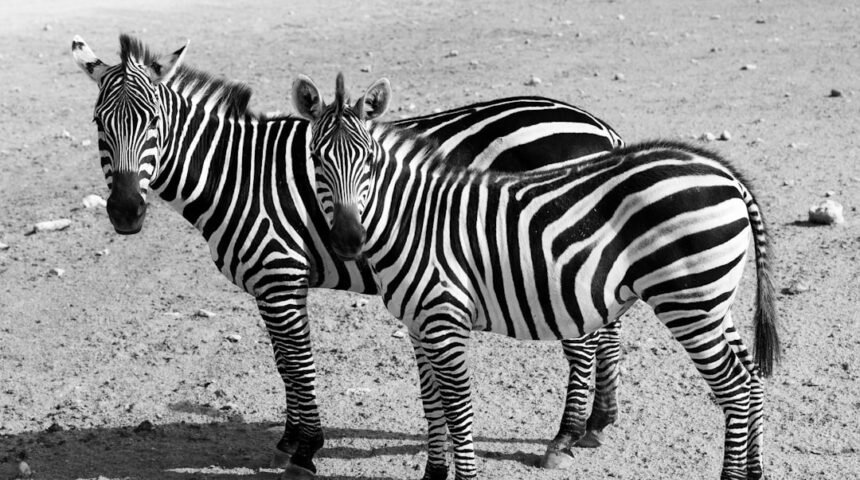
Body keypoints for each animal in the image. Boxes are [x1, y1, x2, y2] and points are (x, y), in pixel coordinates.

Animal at [71, 35, 626, 478]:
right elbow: (282, 363)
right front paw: (289, 439)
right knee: (607, 327)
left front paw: (305, 450)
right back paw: (599, 421)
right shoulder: (271, 283)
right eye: (98, 123)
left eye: (154, 122)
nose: (124, 213)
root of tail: (598, 127)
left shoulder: (280, 274)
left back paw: (564, 436)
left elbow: (297, 364)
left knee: (583, 340)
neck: (239, 174)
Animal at [293, 73, 780, 480]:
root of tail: (728, 175)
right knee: (752, 379)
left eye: (370, 162)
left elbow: (458, 410)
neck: (416, 219)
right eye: (314, 160)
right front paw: (433, 473)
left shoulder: (445, 320)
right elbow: (432, 406)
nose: (348, 240)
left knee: (735, 388)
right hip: (713, 302)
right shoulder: (418, 324)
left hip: (688, 303)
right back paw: (753, 470)